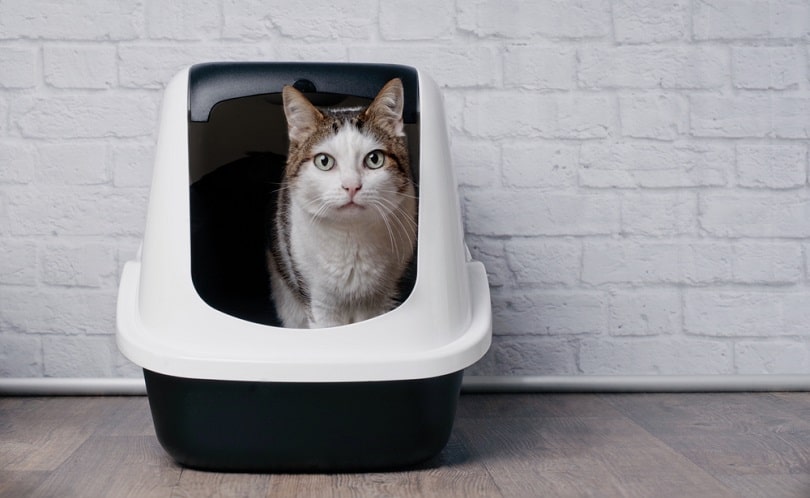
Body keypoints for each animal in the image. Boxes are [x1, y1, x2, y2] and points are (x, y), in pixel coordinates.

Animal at [266, 79, 416, 330]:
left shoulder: (382, 299)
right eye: (324, 161)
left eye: (374, 159)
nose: (352, 186)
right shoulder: (319, 303)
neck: (351, 235)